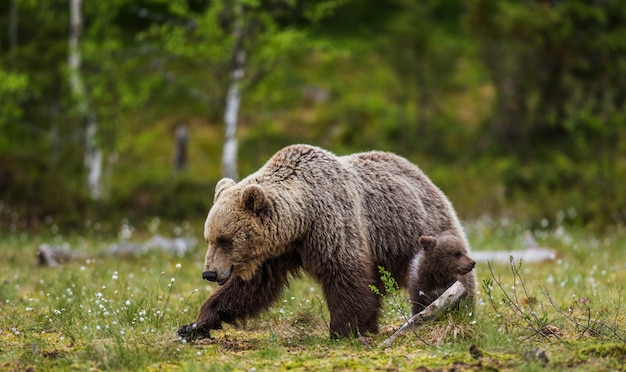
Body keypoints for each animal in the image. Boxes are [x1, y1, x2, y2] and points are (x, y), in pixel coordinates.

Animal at [178, 145, 476, 340]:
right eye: (209, 238)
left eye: (225, 240)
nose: (209, 273)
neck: (301, 219)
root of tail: (420, 172)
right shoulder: (277, 251)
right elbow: (252, 286)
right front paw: (197, 324)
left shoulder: (332, 223)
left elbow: (345, 274)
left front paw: (343, 330)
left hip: (416, 230)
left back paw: (461, 310)